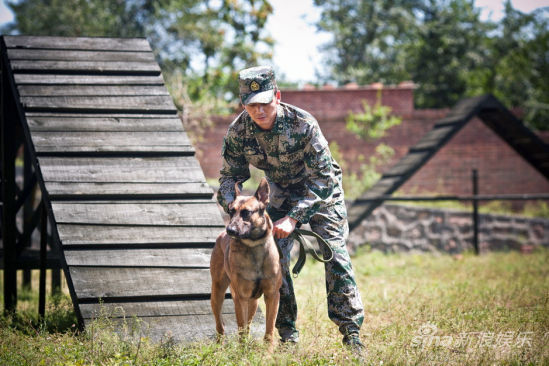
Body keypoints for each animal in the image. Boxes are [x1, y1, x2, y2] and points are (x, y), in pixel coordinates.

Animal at [209, 177, 280, 348]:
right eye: (231, 211)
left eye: (246, 213)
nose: (230, 230)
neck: (254, 247)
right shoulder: (241, 297)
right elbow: (241, 330)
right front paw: (242, 351)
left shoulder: (272, 296)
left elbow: (269, 329)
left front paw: (268, 351)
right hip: (218, 293)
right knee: (220, 325)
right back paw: (220, 346)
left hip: (253, 302)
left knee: (247, 326)